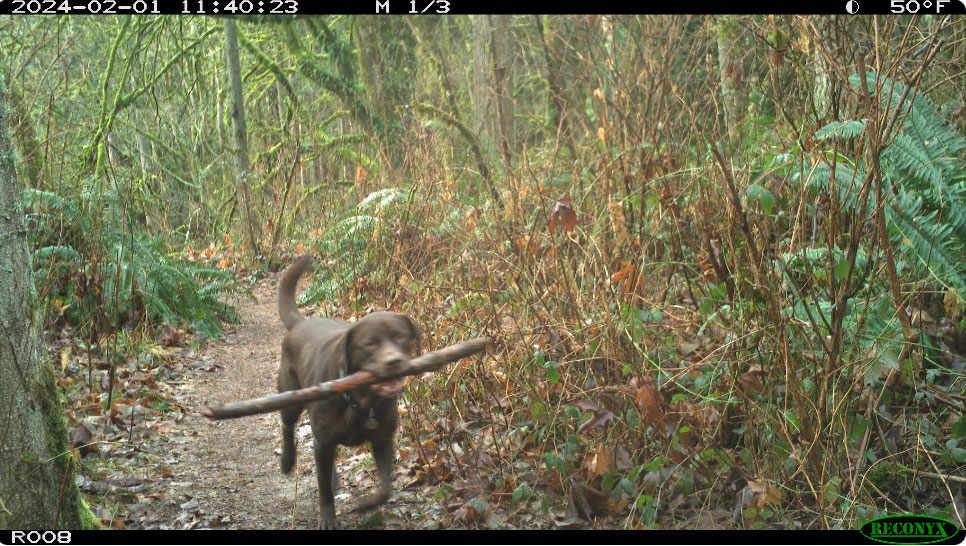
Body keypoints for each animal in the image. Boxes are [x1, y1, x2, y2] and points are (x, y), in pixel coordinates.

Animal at [276, 255, 420, 528]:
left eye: (399, 336)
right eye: (369, 344)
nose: (394, 362)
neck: (361, 400)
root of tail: (301, 324)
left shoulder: (383, 439)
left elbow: (385, 488)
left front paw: (367, 504)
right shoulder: (325, 439)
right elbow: (323, 490)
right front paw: (328, 519)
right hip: (291, 395)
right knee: (288, 426)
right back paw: (287, 460)